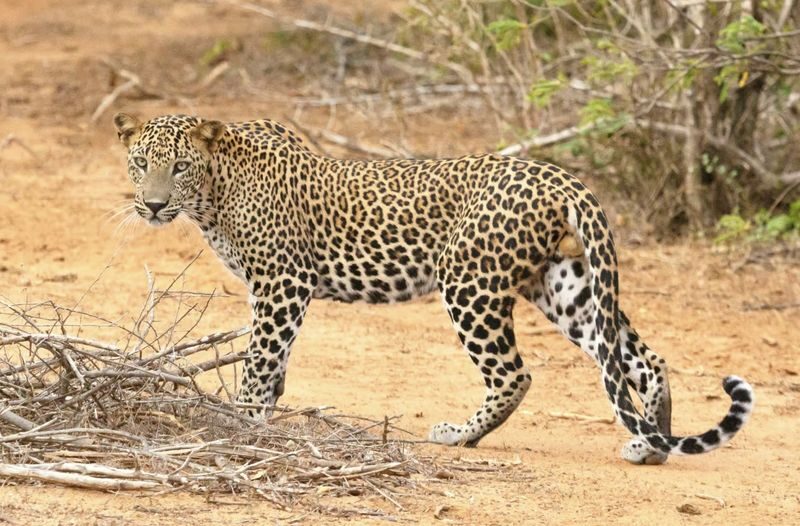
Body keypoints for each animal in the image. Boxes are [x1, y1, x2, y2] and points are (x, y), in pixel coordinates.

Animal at [113, 112, 754, 464]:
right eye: (140, 163)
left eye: (178, 167)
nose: (153, 205)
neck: (214, 192)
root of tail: (560, 175)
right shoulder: (275, 289)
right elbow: (274, 363)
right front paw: (262, 417)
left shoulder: (282, 282)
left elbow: (260, 358)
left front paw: (242, 422)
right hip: (563, 284)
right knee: (639, 359)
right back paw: (651, 443)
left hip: (469, 281)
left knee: (515, 374)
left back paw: (457, 436)